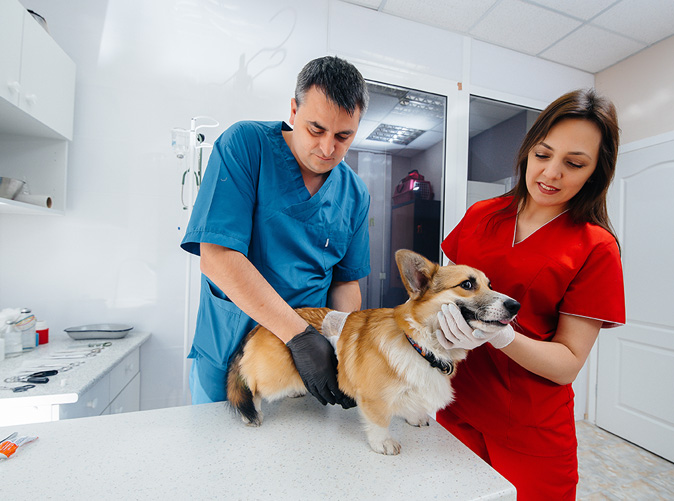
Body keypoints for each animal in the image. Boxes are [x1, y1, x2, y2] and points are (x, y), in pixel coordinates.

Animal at [226, 249, 520, 454]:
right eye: (467, 285)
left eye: (490, 285)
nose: (515, 305)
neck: (420, 345)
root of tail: (259, 326)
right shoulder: (374, 399)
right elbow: (379, 423)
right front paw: (384, 443)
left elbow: (409, 403)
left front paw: (414, 417)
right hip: (272, 377)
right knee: (250, 385)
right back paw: (251, 413)